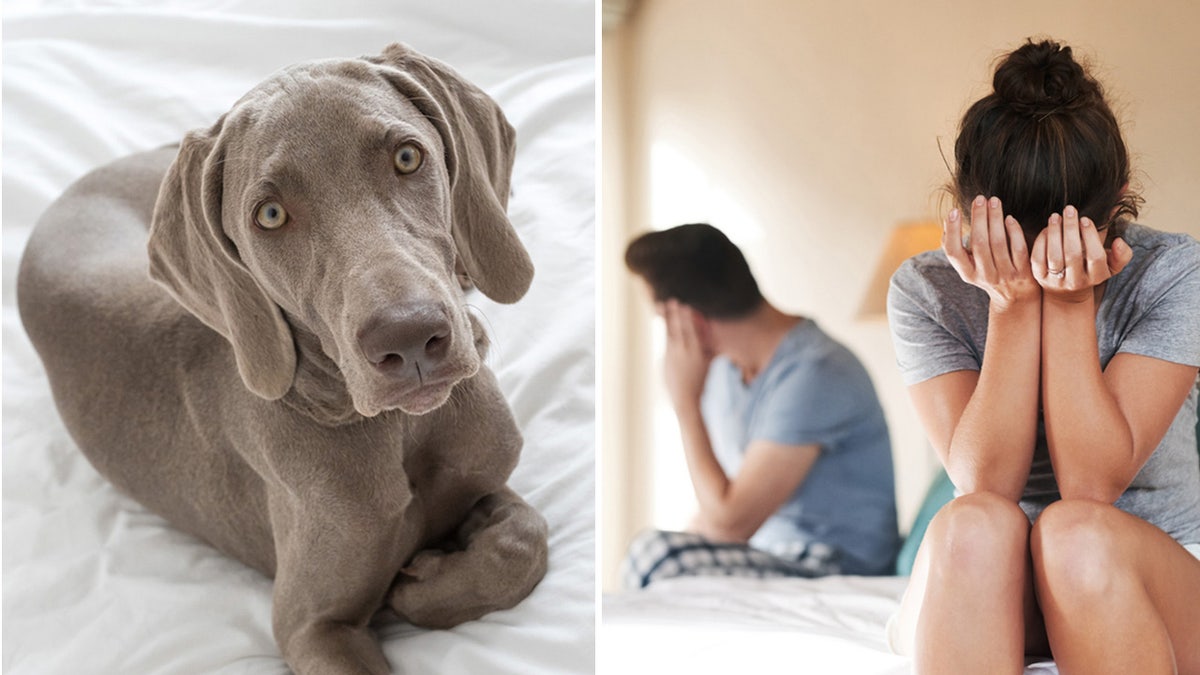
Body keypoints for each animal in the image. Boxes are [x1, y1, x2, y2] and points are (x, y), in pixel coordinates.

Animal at [16, 44, 549, 667]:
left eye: (408, 157)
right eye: (269, 215)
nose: (410, 338)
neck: (402, 428)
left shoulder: (482, 479)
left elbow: (524, 539)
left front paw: (423, 585)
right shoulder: (310, 626)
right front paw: (414, 585)